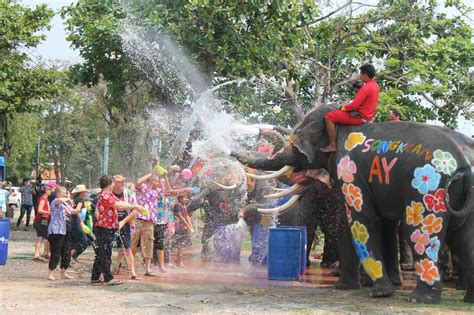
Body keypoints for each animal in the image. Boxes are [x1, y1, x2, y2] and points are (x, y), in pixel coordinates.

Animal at [231, 103, 472, 304]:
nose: (231, 151)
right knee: (463, 238)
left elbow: (361, 220)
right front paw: (344, 286)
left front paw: (379, 291)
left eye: (296, 141)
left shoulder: (351, 172)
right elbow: (350, 225)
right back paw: (467, 298)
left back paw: (420, 298)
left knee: (420, 233)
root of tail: (463, 166)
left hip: (428, 191)